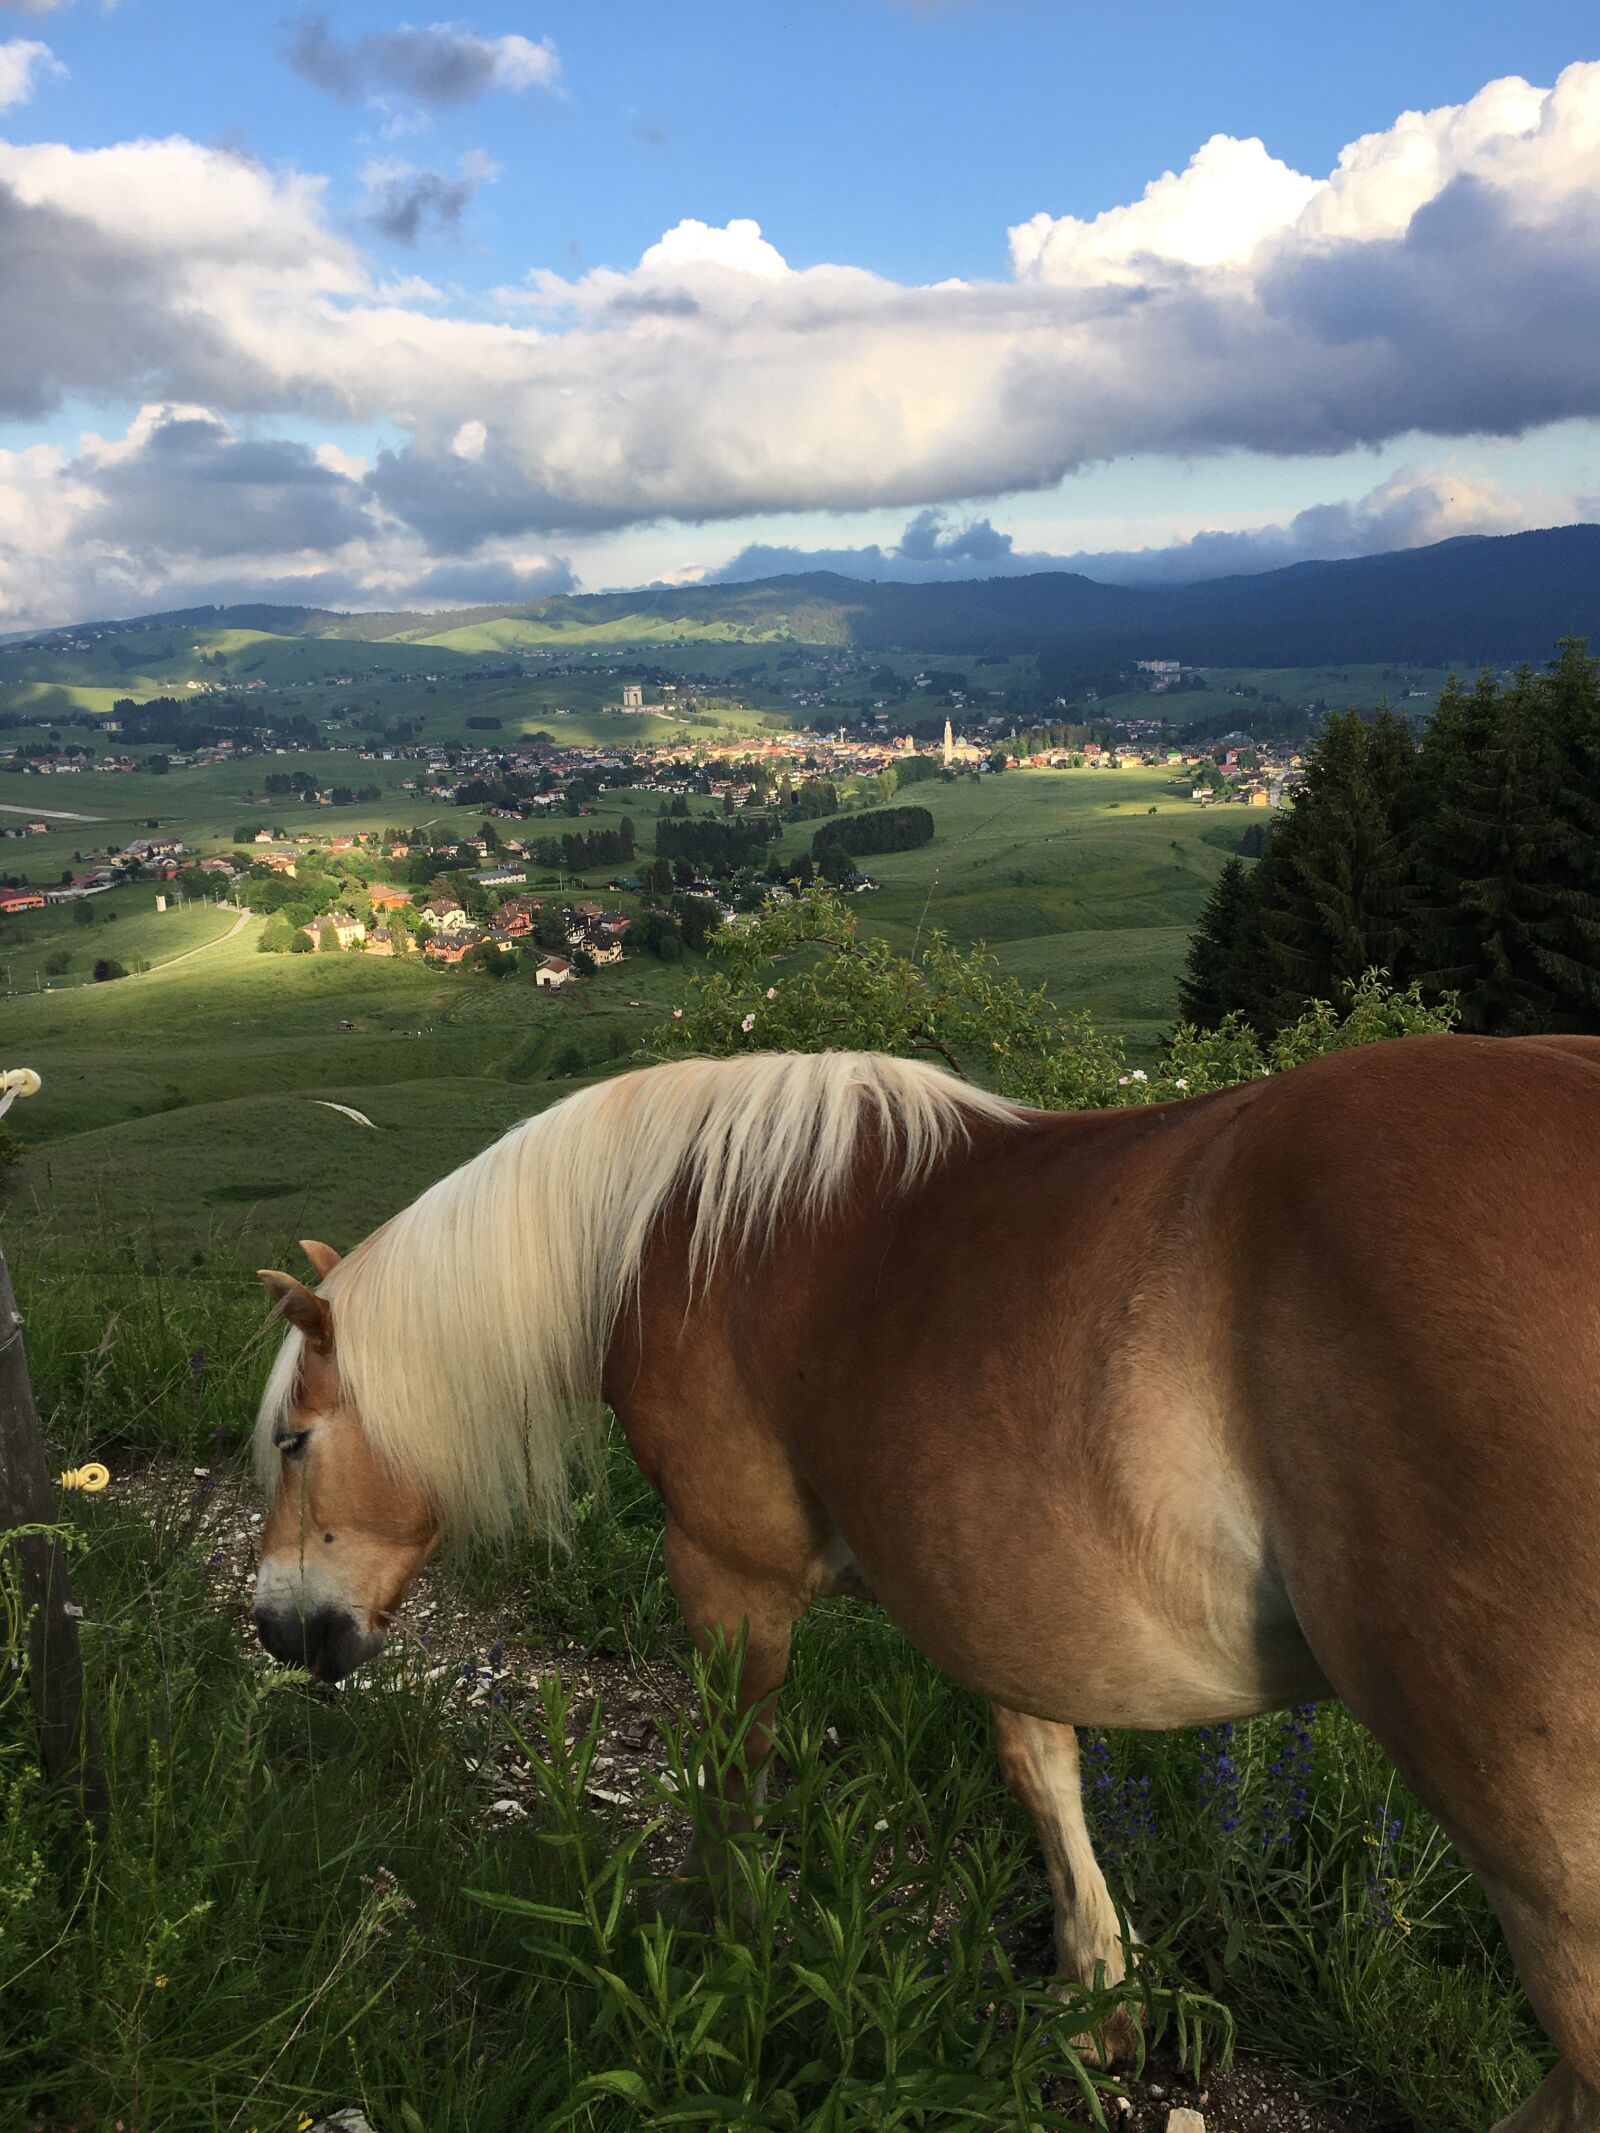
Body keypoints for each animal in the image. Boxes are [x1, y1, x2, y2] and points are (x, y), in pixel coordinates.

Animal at [252, 1033, 1600, 2133]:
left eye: (294, 1441)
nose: (275, 1625)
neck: (681, 1231)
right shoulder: (998, 1584)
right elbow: (1041, 1765)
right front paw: (1097, 1991)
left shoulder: (728, 1574)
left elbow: (735, 1778)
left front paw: (729, 1953)